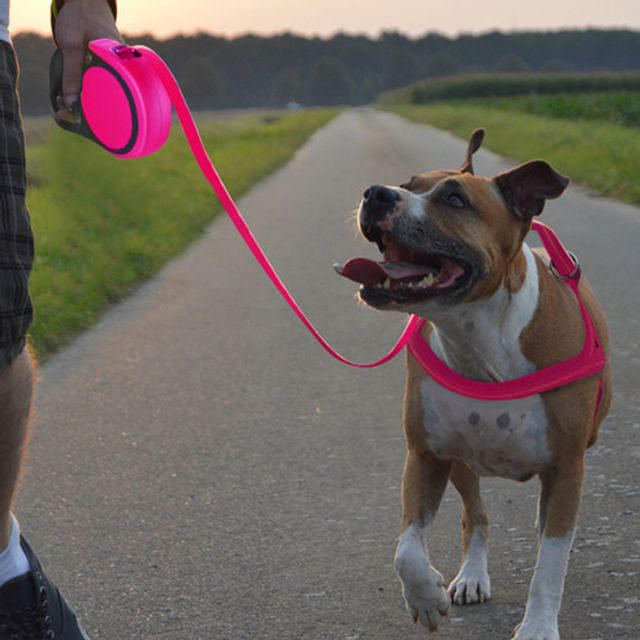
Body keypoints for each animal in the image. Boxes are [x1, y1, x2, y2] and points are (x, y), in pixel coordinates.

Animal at [336, 130, 608, 640]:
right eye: (407, 184)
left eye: (455, 199)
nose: (377, 193)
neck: (479, 338)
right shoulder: (425, 455)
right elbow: (406, 550)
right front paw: (426, 598)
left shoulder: (566, 469)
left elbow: (551, 561)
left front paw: (538, 626)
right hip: (463, 463)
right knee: (475, 515)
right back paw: (471, 577)